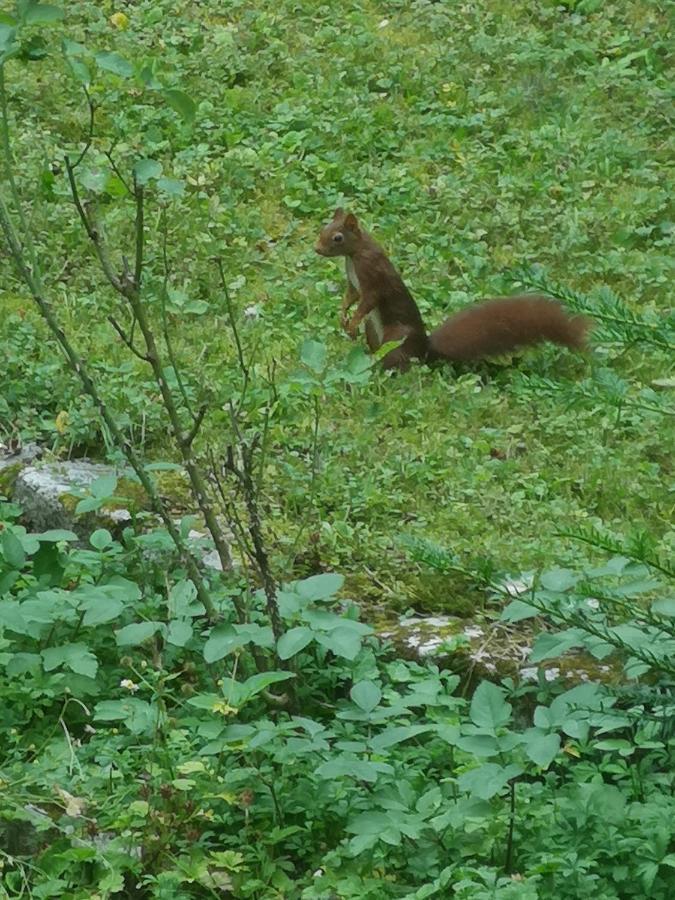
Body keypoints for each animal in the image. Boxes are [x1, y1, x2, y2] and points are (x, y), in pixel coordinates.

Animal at [314, 207, 588, 370]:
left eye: (337, 237)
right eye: (322, 229)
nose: (317, 249)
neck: (354, 255)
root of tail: (425, 350)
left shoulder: (373, 276)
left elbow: (367, 301)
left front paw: (351, 322)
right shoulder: (354, 282)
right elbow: (351, 296)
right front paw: (343, 316)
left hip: (397, 336)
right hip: (374, 331)